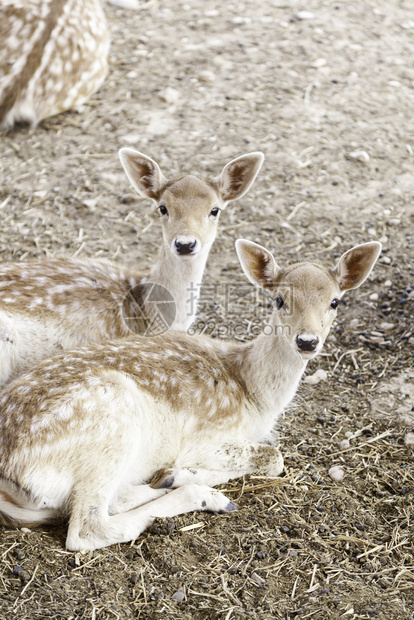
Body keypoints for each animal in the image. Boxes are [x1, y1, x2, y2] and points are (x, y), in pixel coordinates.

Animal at [0, 240, 382, 548]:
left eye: (335, 302)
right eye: (279, 299)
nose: (307, 341)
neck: (254, 394)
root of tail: (11, 474)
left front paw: (176, 475)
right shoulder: (208, 436)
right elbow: (274, 457)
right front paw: (187, 474)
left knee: (114, 499)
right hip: (111, 422)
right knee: (87, 529)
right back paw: (203, 495)